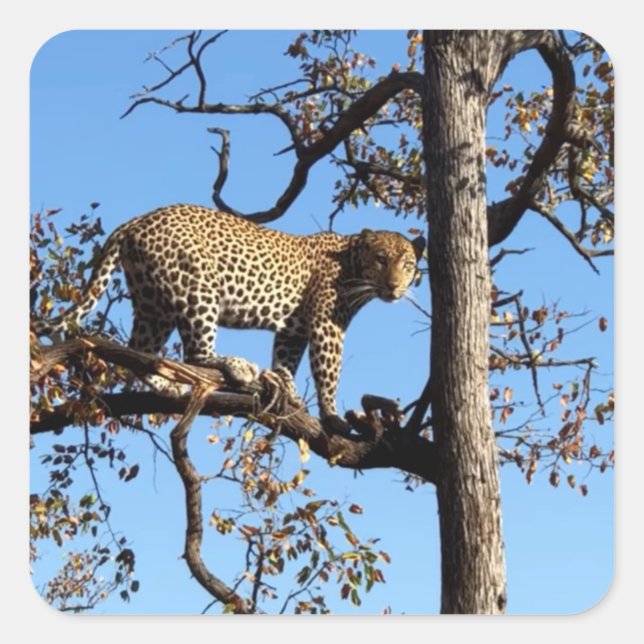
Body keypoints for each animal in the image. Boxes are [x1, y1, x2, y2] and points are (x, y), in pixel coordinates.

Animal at [34, 204, 426, 433]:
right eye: (381, 259)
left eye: (407, 265)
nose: (394, 286)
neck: (352, 264)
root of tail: (136, 220)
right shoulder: (327, 326)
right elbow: (329, 371)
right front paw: (331, 414)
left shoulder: (294, 330)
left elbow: (286, 361)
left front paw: (289, 390)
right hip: (197, 288)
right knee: (196, 353)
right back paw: (236, 366)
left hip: (153, 304)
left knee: (141, 350)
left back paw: (169, 386)